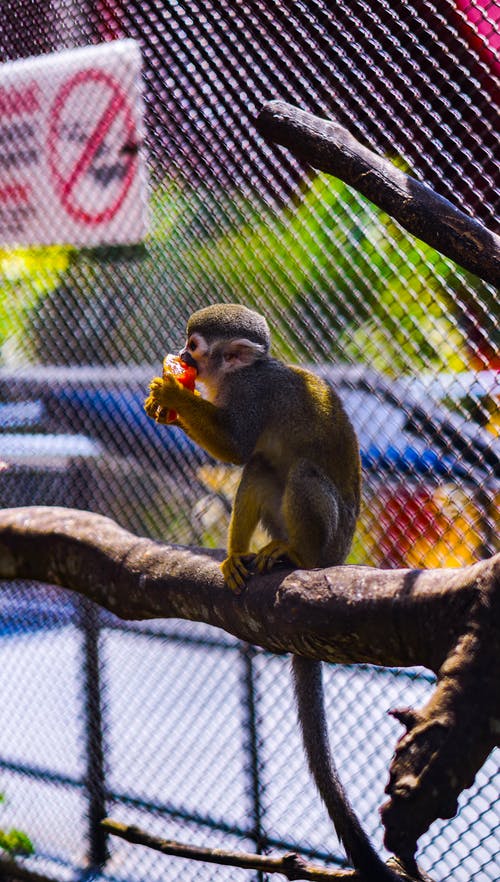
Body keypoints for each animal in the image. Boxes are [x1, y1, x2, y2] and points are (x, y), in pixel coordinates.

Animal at [144, 304, 398, 880]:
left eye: (196, 347)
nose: (181, 353)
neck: (238, 376)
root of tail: (337, 557)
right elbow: (244, 459)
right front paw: (165, 405)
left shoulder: (252, 395)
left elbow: (237, 445)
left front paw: (171, 393)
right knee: (262, 467)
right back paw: (239, 557)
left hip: (329, 534)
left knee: (295, 470)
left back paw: (294, 556)